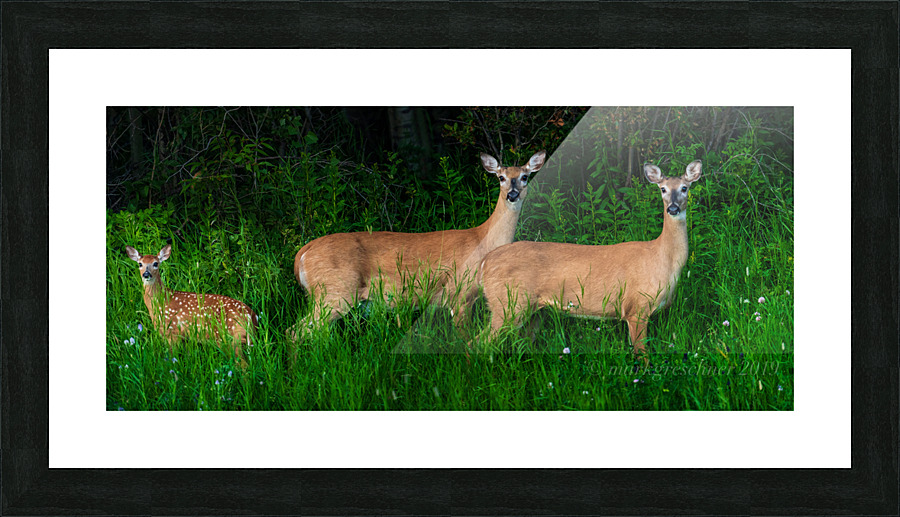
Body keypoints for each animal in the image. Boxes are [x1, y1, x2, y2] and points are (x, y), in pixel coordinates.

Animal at [125, 244, 259, 369]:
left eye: (156, 263)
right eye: (140, 264)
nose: (146, 274)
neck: (161, 301)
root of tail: (250, 314)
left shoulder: (171, 331)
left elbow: (172, 359)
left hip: (229, 337)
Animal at [289, 150, 546, 341]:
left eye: (525, 176)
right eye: (501, 177)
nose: (512, 194)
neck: (483, 242)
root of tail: (302, 254)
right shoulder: (459, 293)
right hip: (334, 291)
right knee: (295, 331)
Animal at [477, 160, 703, 362]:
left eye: (684, 188)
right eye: (663, 189)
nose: (673, 208)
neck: (662, 259)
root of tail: (485, 262)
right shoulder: (636, 308)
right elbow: (643, 358)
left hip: (533, 310)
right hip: (507, 304)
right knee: (478, 342)